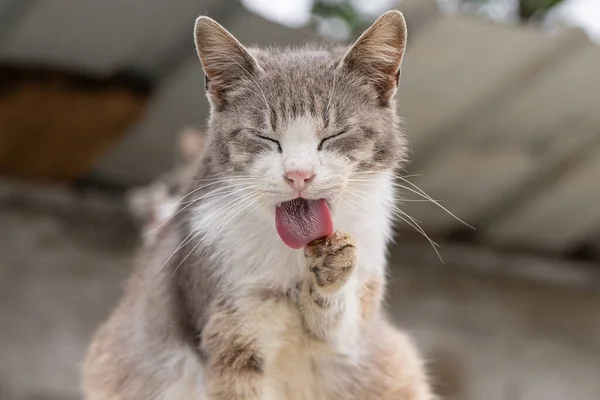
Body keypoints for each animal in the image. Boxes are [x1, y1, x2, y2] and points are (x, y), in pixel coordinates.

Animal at [83, 10, 432, 398]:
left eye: (334, 135)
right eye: (265, 137)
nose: (298, 174)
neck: (289, 255)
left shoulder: (353, 331)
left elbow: (339, 326)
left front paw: (334, 265)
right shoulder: (230, 328)